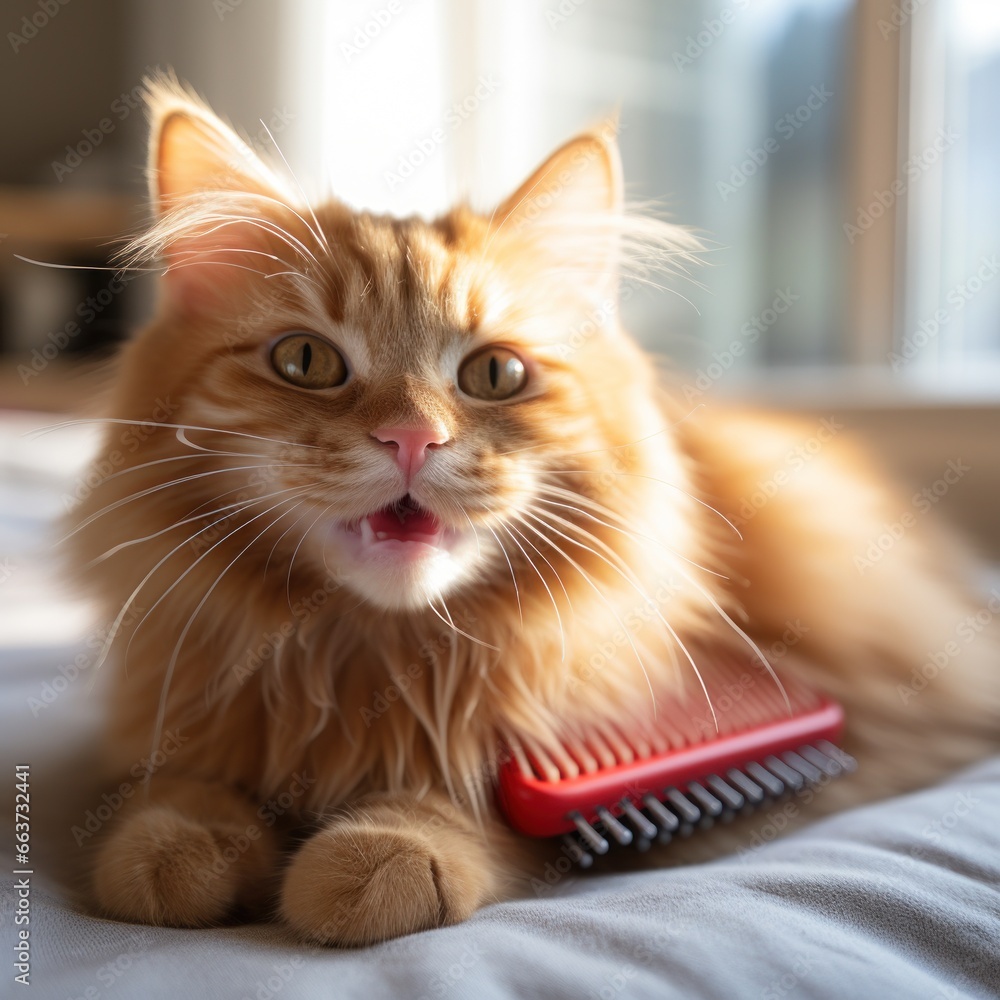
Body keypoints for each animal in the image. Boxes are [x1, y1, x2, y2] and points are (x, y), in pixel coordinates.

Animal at [66, 80, 996, 944]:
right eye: (305, 361)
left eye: (495, 375)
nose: (411, 438)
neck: (367, 658)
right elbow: (175, 792)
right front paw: (179, 843)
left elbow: (490, 815)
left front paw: (385, 849)